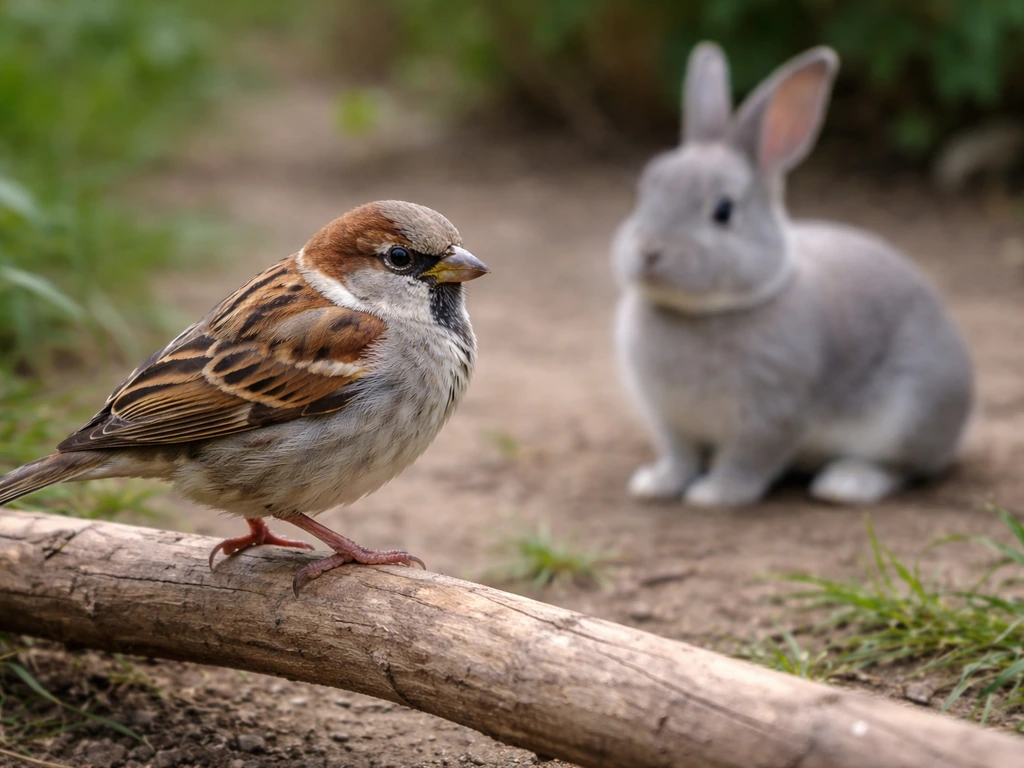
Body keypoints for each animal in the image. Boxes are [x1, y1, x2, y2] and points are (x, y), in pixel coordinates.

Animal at [612, 42, 974, 507]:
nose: (649, 250)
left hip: (909, 413)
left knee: (906, 468)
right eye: (646, 190)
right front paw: (655, 484)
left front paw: (714, 494)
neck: (705, 312)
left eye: (723, 211)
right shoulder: (671, 421)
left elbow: (747, 460)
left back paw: (846, 484)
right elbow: (680, 457)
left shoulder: (772, 417)